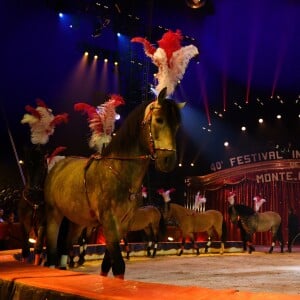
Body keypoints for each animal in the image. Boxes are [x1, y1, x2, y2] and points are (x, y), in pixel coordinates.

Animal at [43, 88, 182, 278]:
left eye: (177, 126)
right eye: (159, 120)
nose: (168, 160)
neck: (119, 171)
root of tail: (57, 166)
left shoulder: (123, 225)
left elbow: (107, 263)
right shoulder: (109, 222)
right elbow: (118, 265)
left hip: (78, 221)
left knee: (66, 247)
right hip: (53, 215)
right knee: (52, 253)